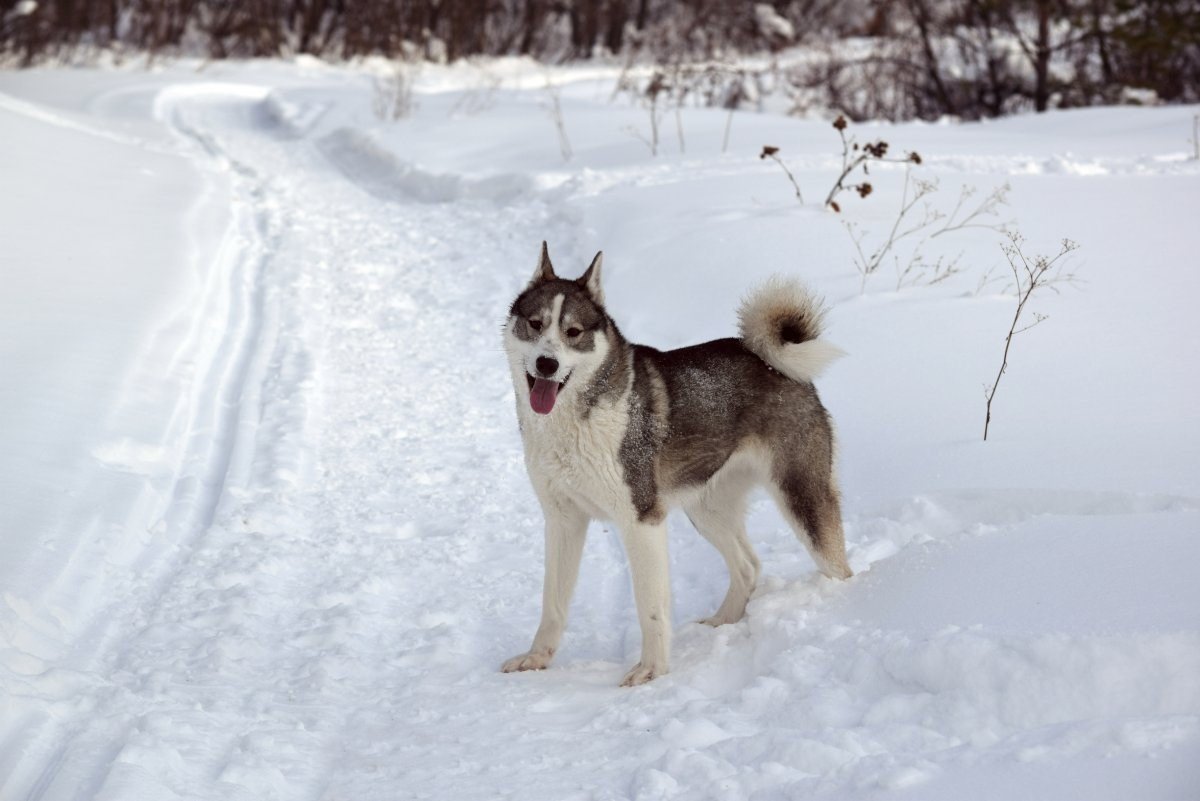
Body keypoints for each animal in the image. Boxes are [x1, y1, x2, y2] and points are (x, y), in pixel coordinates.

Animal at [501, 241, 849, 685]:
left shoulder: (642, 520)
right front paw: (536, 659)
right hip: (707, 509)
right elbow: (553, 604)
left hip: (801, 496)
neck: (575, 420)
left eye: (573, 333)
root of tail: (770, 358)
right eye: (535, 324)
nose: (547, 364)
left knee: (837, 566)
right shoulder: (563, 521)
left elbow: (650, 607)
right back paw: (722, 623)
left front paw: (652, 670)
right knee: (748, 566)